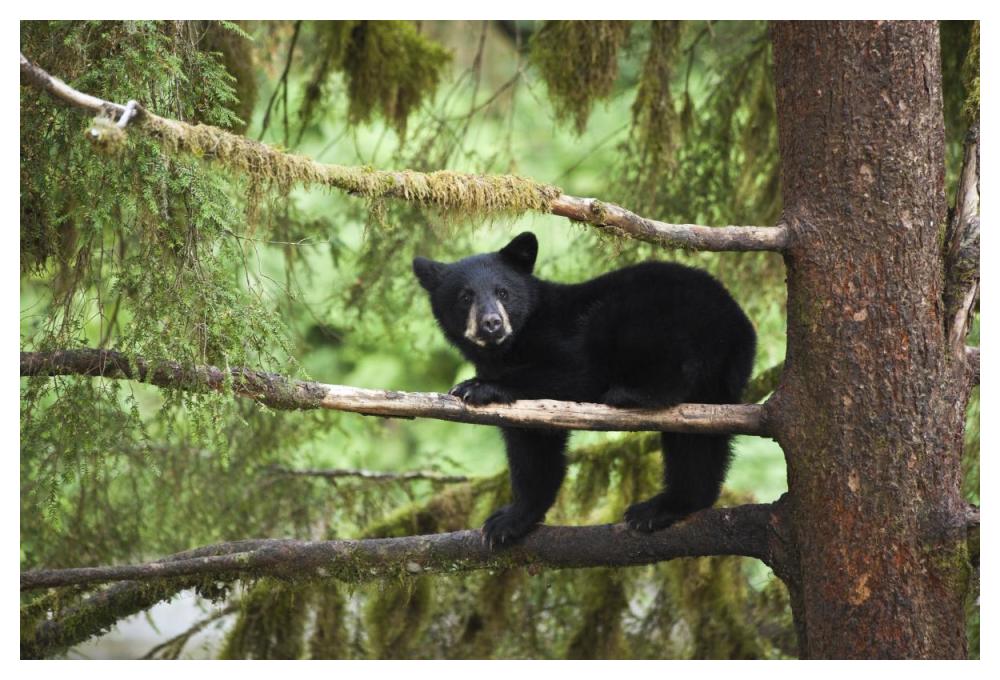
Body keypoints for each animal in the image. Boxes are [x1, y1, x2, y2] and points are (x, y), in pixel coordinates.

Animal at [413, 231, 756, 547]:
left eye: (503, 292)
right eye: (465, 297)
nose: (492, 323)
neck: (510, 347)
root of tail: (736, 323)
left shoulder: (562, 340)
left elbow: (575, 372)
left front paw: (477, 387)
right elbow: (533, 448)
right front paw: (509, 521)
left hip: (657, 318)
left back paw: (632, 394)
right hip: (716, 386)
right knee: (697, 444)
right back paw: (662, 508)